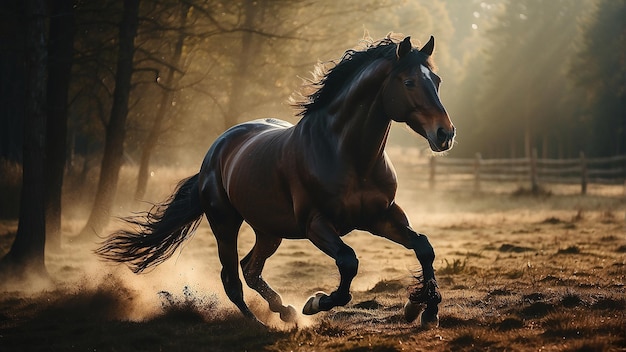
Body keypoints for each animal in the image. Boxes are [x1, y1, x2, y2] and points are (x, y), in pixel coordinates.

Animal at [98, 35, 458, 328]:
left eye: (438, 80)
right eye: (409, 82)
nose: (445, 134)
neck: (346, 154)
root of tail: (216, 150)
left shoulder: (380, 216)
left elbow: (424, 247)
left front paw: (423, 309)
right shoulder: (316, 224)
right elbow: (348, 261)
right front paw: (315, 302)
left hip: (269, 230)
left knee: (250, 268)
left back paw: (283, 310)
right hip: (225, 222)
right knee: (231, 278)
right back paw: (263, 323)